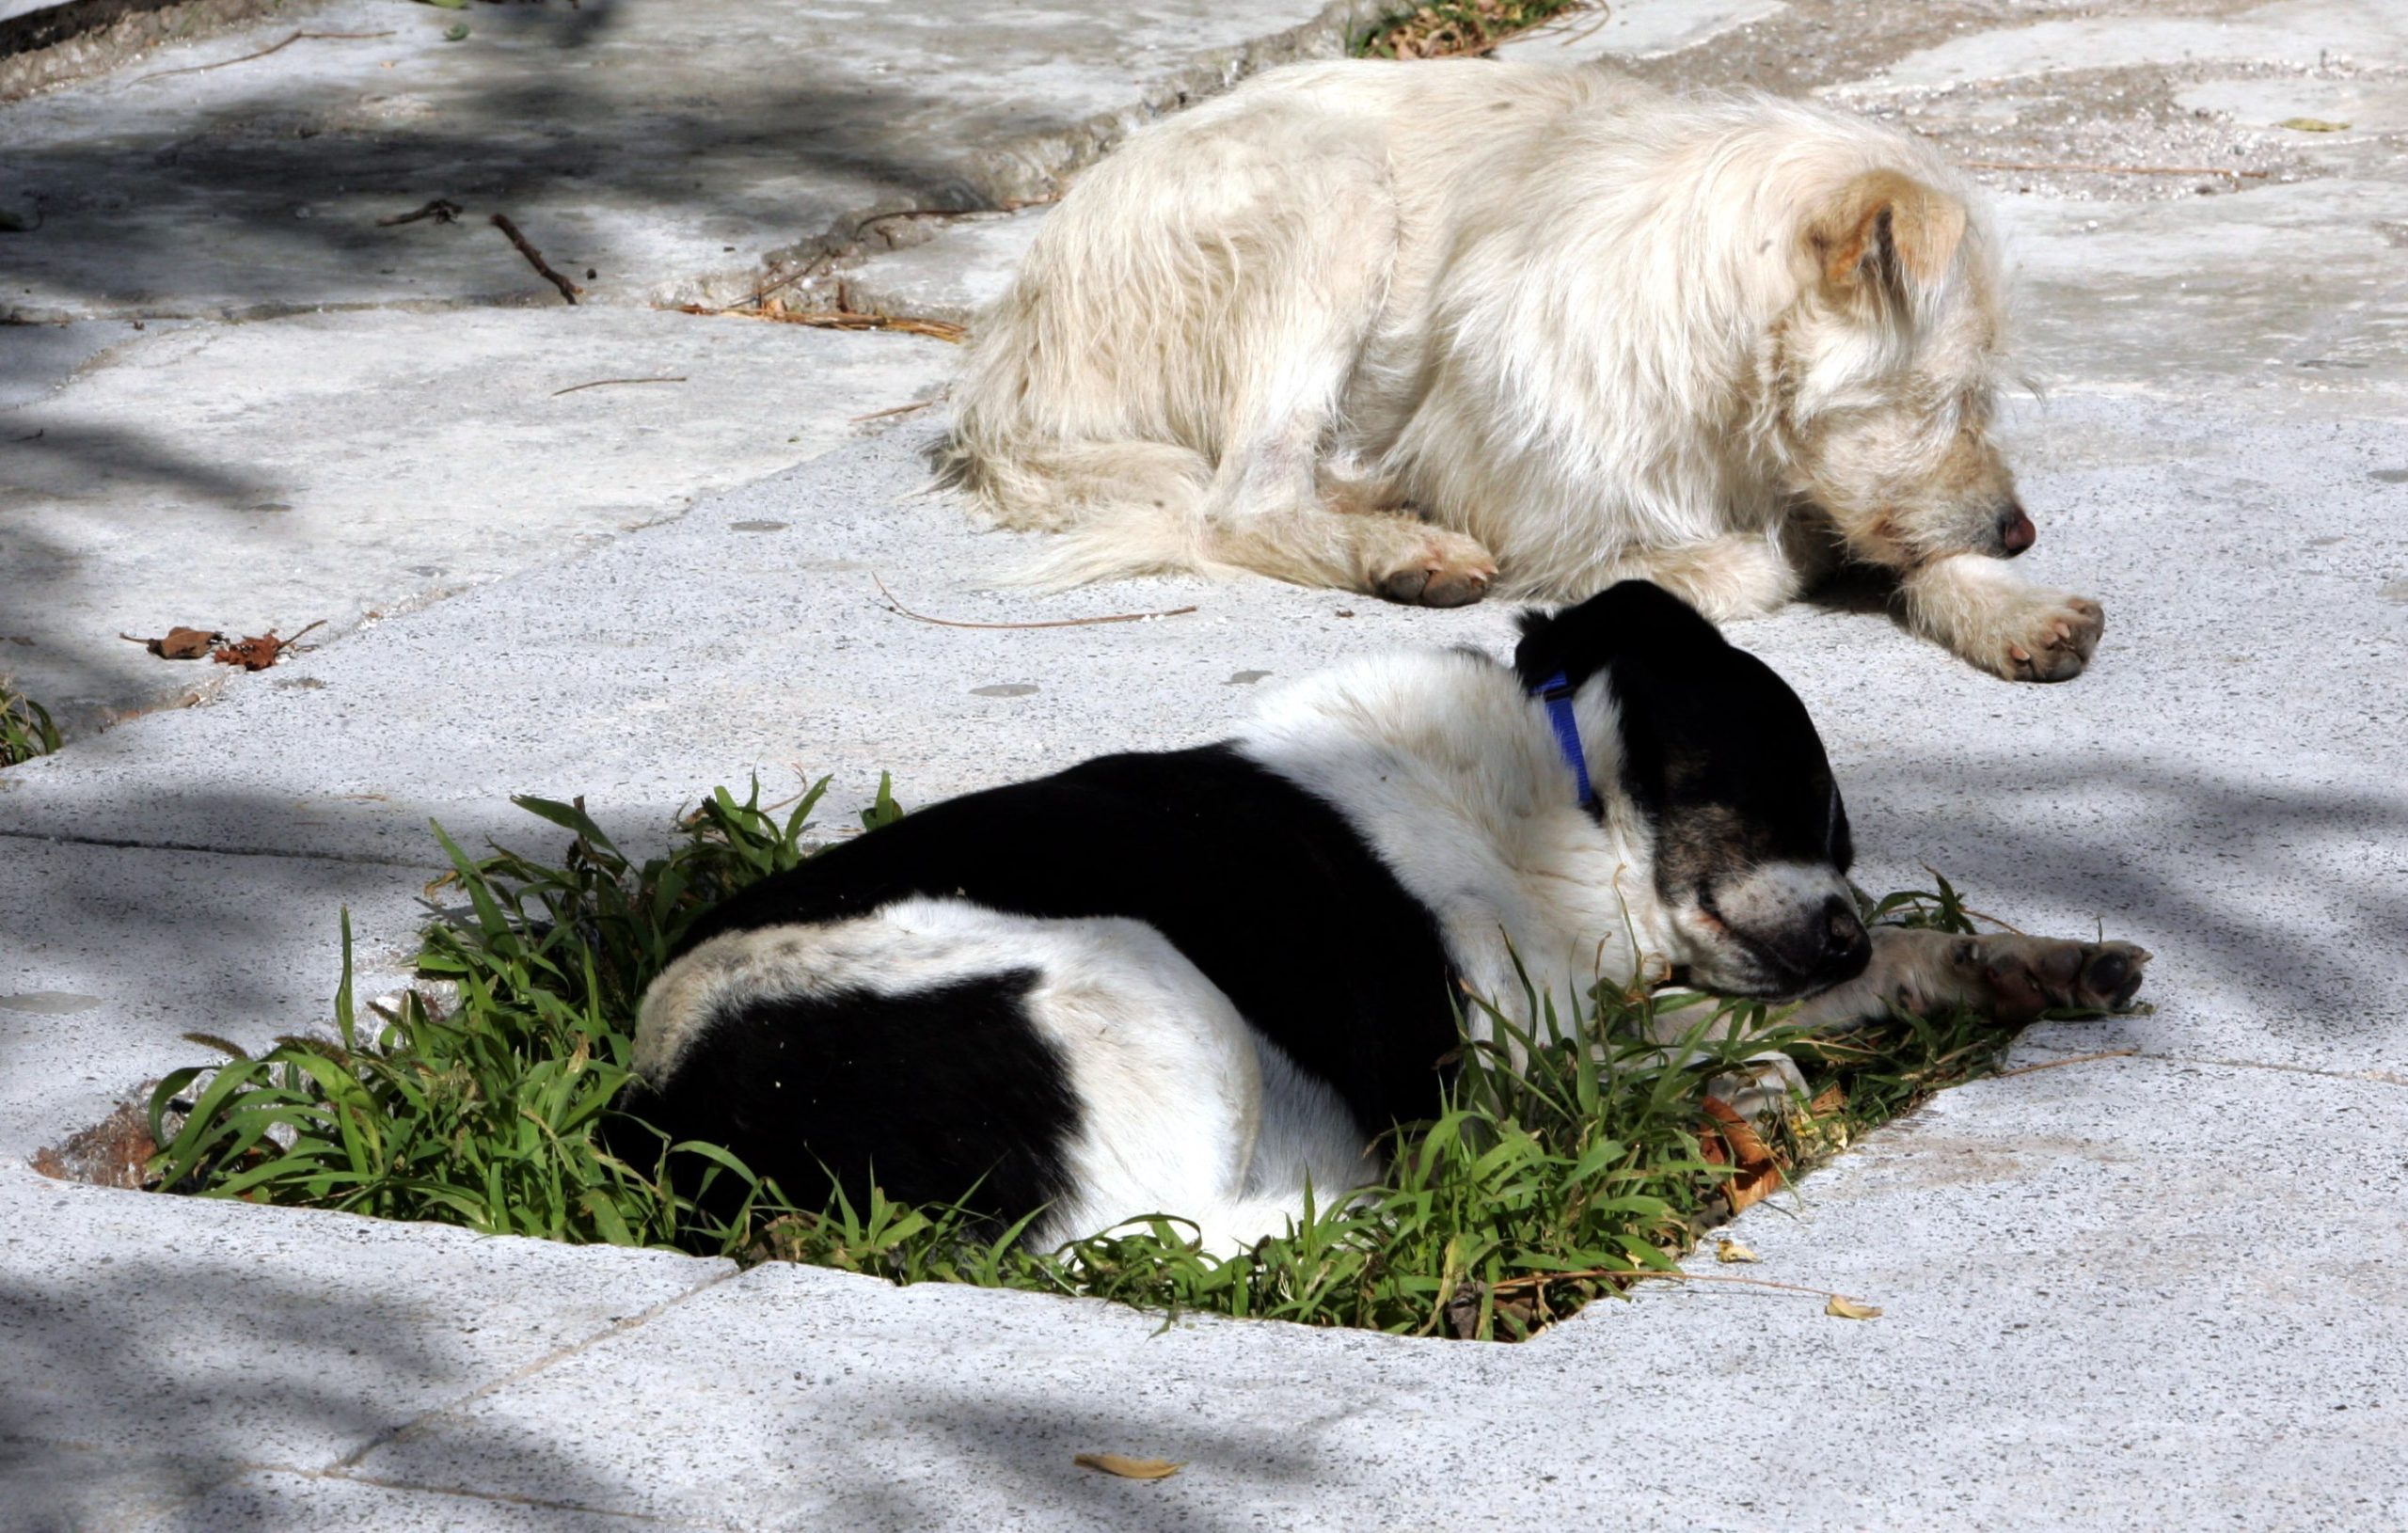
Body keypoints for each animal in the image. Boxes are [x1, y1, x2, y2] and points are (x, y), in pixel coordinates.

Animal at [626, 579, 2147, 1251]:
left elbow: (1879, 964)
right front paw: (1753, 1078)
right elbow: (1692, 1040)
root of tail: (663, 1108)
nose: (1835, 929)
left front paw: (2030, 963)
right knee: (1173, 1227)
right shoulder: (1502, 1056)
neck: (1556, 801)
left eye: (1846, 845)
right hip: (1135, 981)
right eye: (1789, 789)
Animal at [939, 58, 2109, 683]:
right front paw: (1785, 550)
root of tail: (1004, 351)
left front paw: (2006, 605)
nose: (2020, 530)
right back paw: (1401, 546)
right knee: (1240, 503)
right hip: (1332, 190)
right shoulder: (1551, 511)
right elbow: (1733, 562)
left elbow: (1905, 534)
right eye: (1952, 397)